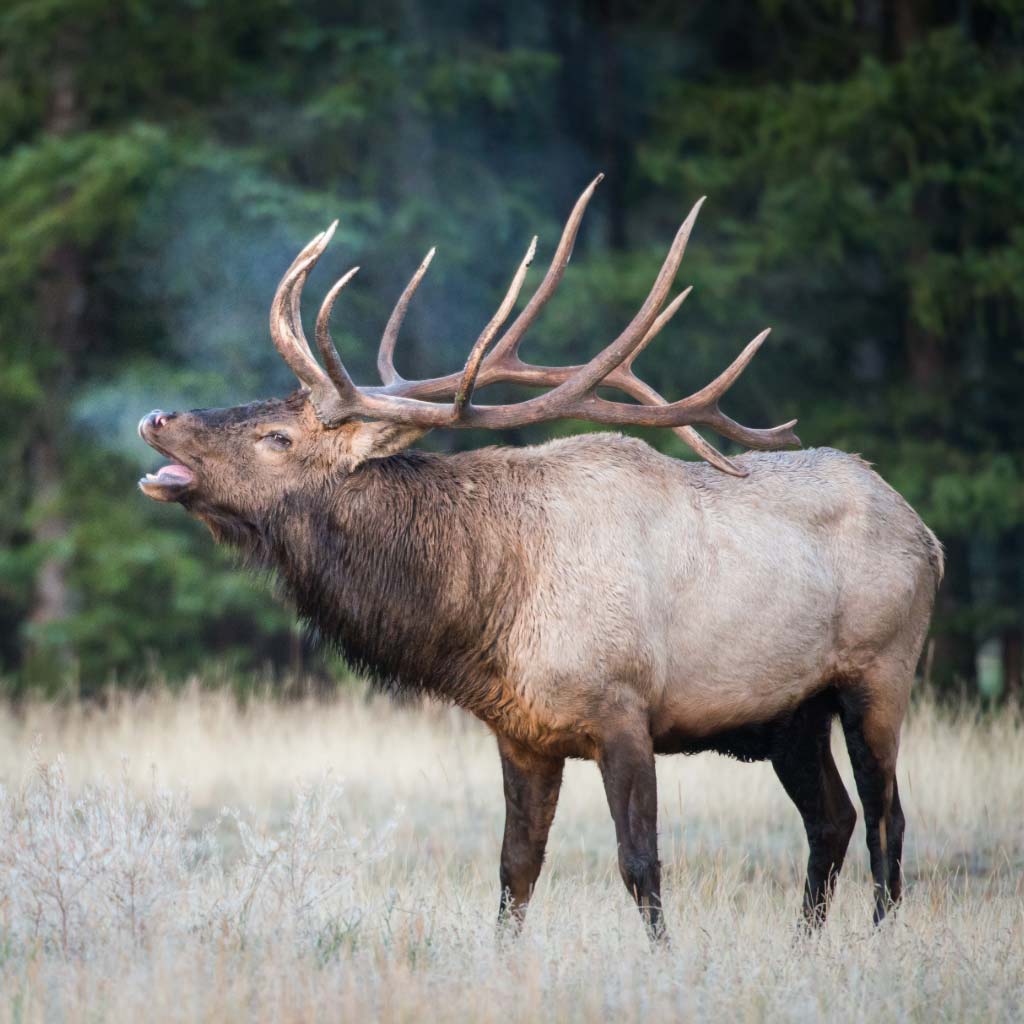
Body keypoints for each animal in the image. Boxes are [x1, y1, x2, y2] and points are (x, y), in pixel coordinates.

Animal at [138, 176, 942, 941]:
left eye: (276, 436)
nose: (156, 416)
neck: (489, 607)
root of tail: (927, 537)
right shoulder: (522, 734)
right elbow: (515, 868)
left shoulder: (624, 708)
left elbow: (640, 864)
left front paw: (664, 959)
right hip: (792, 714)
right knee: (832, 819)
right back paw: (804, 944)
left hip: (879, 673)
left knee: (886, 821)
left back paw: (878, 941)